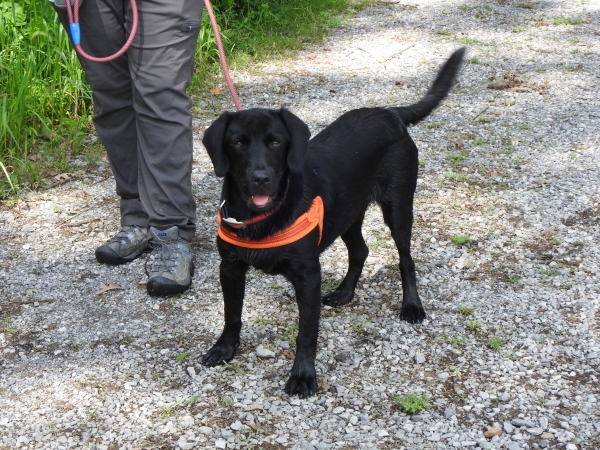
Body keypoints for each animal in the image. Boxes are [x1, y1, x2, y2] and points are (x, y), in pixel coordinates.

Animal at [200, 46, 464, 398]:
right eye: (238, 143)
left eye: (275, 142)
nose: (261, 179)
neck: (262, 217)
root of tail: (389, 113)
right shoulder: (229, 268)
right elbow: (232, 315)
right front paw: (224, 349)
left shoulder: (308, 276)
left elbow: (306, 331)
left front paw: (302, 376)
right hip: (347, 213)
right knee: (361, 251)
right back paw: (344, 293)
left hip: (397, 208)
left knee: (405, 259)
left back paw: (411, 305)